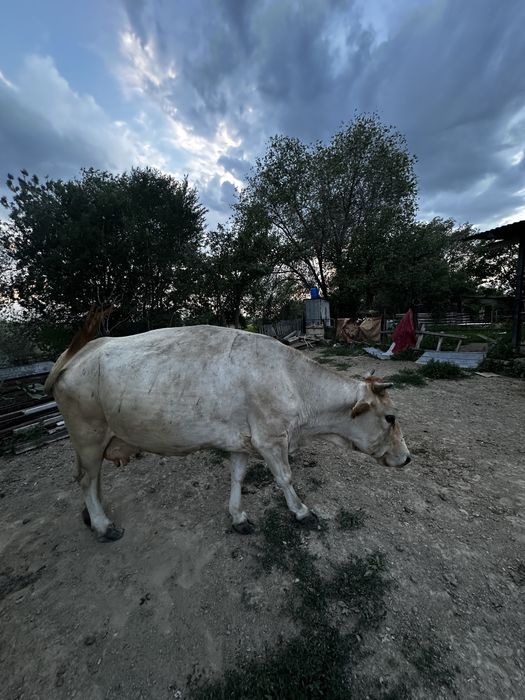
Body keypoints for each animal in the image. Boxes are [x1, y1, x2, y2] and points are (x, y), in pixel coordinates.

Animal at [45, 310, 410, 542]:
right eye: (390, 417)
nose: (407, 458)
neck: (294, 381)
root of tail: (79, 351)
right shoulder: (269, 438)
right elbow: (285, 477)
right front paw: (302, 512)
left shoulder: (242, 440)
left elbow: (238, 476)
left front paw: (238, 517)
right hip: (88, 432)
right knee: (85, 479)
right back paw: (103, 525)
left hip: (94, 439)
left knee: (92, 477)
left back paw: (93, 515)